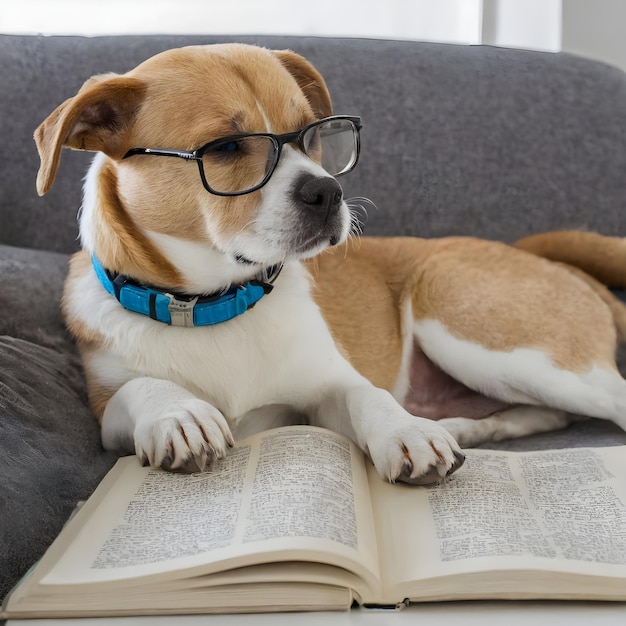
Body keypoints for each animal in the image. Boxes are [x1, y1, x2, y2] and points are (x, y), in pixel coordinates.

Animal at [34, 45, 624, 482]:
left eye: (312, 134)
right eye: (226, 146)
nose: (328, 192)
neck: (215, 303)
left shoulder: (325, 386)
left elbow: (365, 392)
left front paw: (404, 430)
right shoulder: (105, 413)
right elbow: (138, 388)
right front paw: (178, 413)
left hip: (486, 335)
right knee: (549, 414)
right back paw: (464, 425)